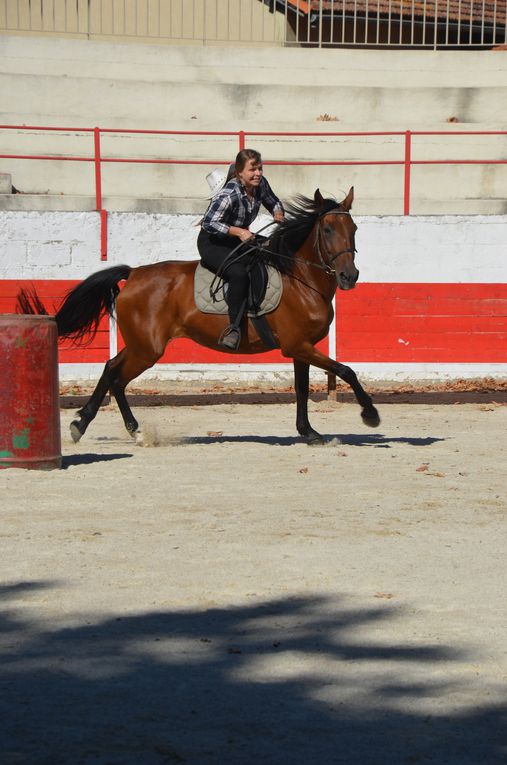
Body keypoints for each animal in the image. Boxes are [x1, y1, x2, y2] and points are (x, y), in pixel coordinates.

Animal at [17, 187, 380, 444]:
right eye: (328, 228)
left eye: (353, 228)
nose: (350, 276)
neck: (300, 279)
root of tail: (133, 274)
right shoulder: (298, 346)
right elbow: (346, 370)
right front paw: (370, 414)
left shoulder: (300, 348)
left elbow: (303, 389)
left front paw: (309, 432)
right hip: (147, 349)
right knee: (117, 375)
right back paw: (106, 427)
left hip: (141, 345)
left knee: (111, 370)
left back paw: (98, 425)